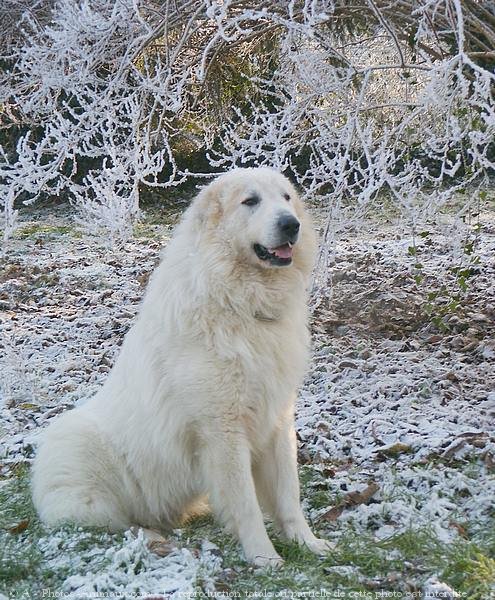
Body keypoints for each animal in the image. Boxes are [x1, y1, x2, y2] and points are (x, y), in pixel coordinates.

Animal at [33, 166, 332, 564]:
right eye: (250, 201)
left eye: (286, 198)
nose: (291, 224)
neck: (240, 303)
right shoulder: (223, 431)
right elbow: (247, 505)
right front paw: (264, 559)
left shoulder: (277, 419)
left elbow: (288, 494)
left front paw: (307, 543)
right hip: (88, 489)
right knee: (116, 525)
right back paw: (153, 537)